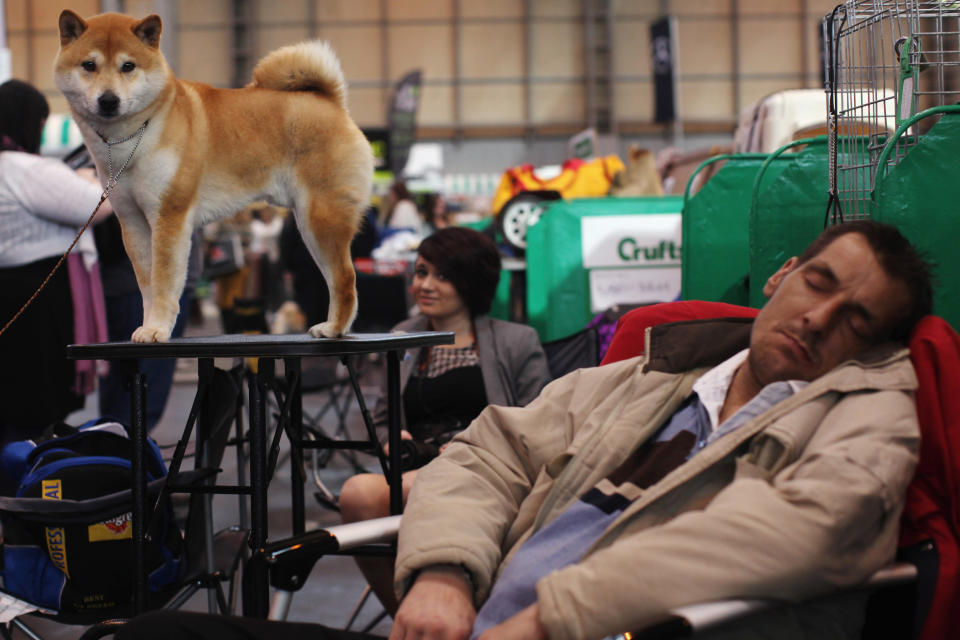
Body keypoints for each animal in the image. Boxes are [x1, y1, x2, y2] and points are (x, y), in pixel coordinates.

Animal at [54, 10, 372, 342]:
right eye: (89, 65)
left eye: (128, 66)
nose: (108, 100)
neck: (134, 138)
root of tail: (333, 103)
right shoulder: (133, 222)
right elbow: (148, 286)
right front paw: (147, 327)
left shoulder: (169, 218)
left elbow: (164, 283)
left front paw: (158, 329)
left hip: (320, 220)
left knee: (344, 279)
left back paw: (333, 328)